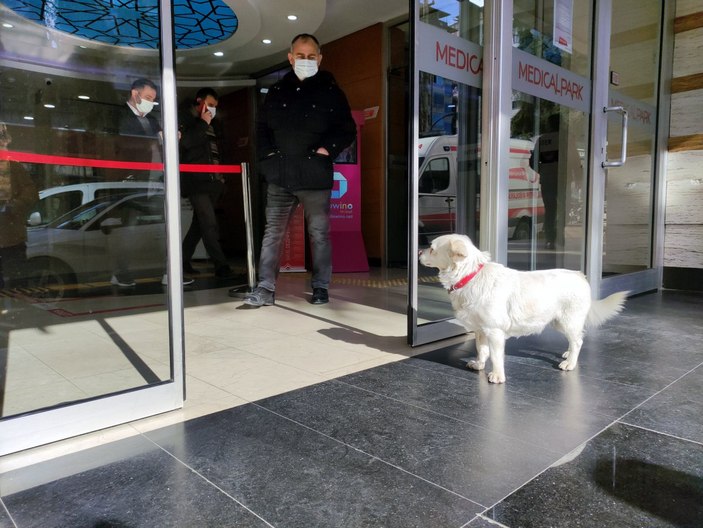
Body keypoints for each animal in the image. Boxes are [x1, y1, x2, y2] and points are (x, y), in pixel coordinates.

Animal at [420, 235, 628, 384]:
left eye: (432, 248)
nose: (419, 250)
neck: (470, 276)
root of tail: (580, 275)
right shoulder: (481, 330)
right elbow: (482, 350)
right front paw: (479, 364)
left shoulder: (495, 331)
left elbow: (496, 356)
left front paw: (497, 376)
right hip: (558, 322)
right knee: (576, 339)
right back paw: (568, 354)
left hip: (568, 321)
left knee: (578, 341)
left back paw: (570, 362)